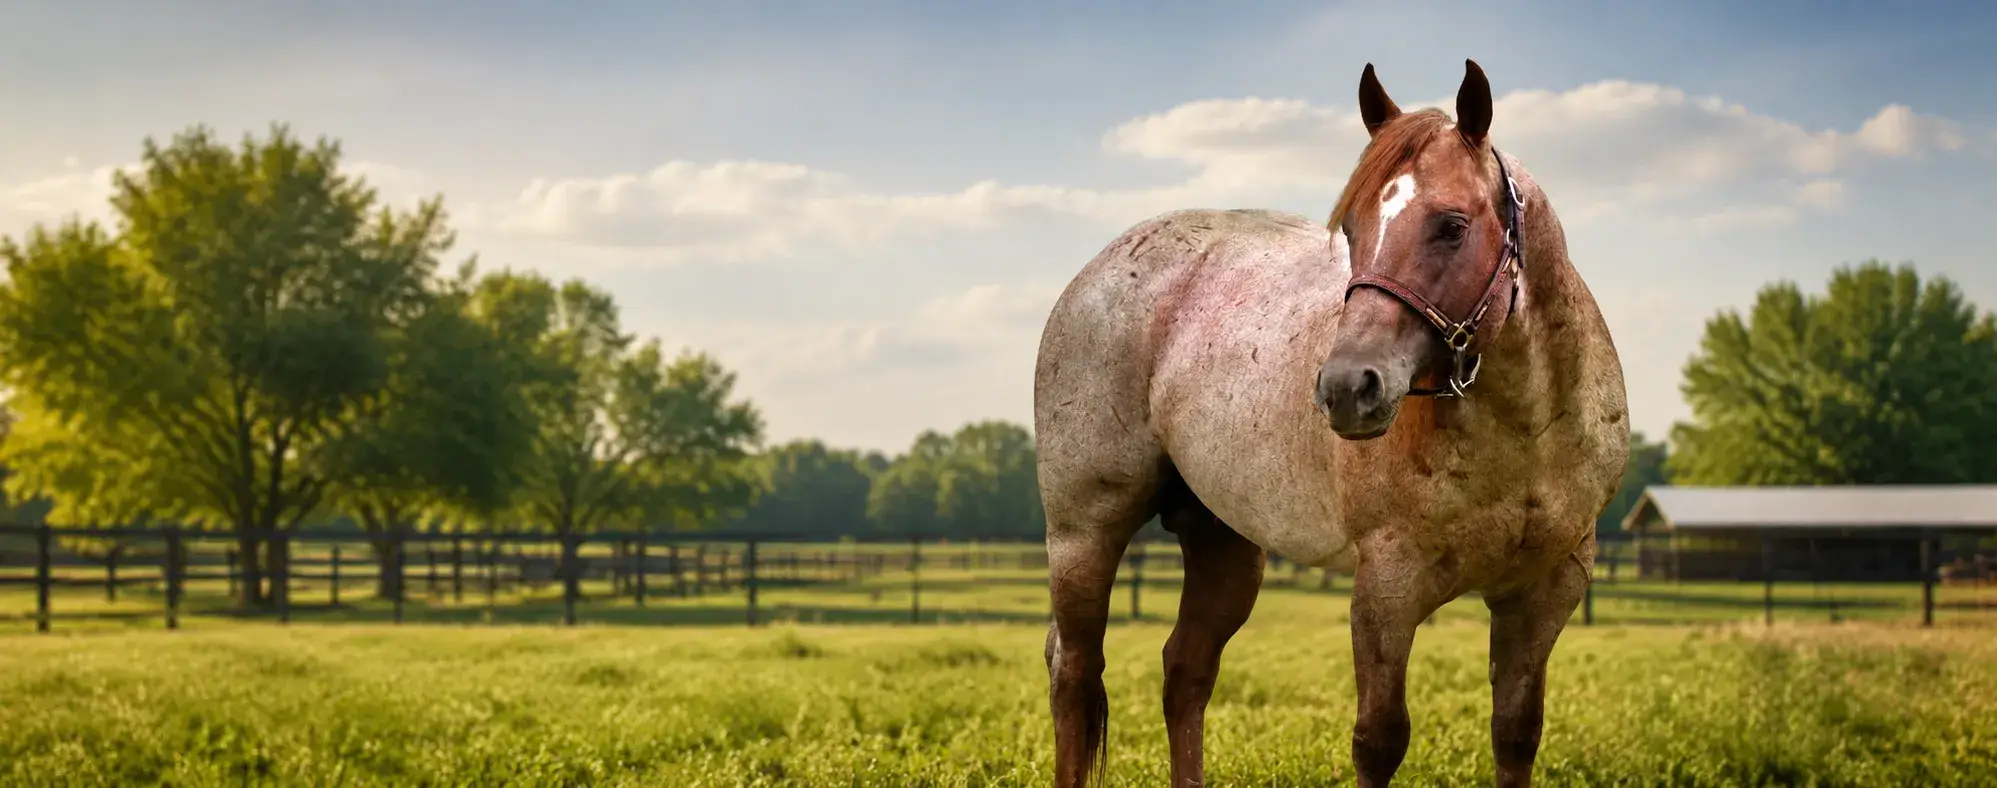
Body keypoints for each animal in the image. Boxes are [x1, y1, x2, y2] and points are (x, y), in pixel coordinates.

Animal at [1033, 59, 1629, 787]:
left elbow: (1516, 735)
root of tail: (1097, 273)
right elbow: (1379, 740)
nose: (1347, 388)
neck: (1525, 434)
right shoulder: (1387, 588)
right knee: (1074, 671)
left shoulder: (1544, 591)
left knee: (1185, 671)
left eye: (1451, 226)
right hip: (1084, 533)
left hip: (1223, 542)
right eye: (1351, 229)